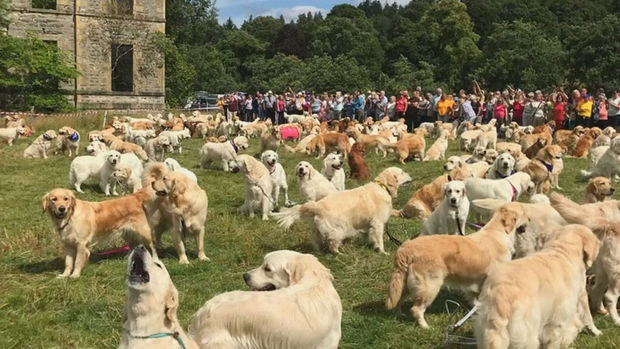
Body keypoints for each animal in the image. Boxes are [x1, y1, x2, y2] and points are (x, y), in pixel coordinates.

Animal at [274, 166, 412, 253]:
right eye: (402, 172)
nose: (410, 175)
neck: (382, 186)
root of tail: (318, 205)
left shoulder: (368, 224)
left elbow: (368, 236)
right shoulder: (378, 223)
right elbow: (379, 240)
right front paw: (383, 252)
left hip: (316, 230)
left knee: (318, 242)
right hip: (338, 230)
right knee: (332, 245)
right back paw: (340, 253)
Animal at [388, 201, 528, 326]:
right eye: (524, 212)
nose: (530, 219)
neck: (499, 231)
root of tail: (406, 247)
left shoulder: (474, 280)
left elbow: (473, 296)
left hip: (405, 284)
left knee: (399, 300)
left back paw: (399, 315)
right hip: (430, 286)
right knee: (416, 309)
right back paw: (425, 326)